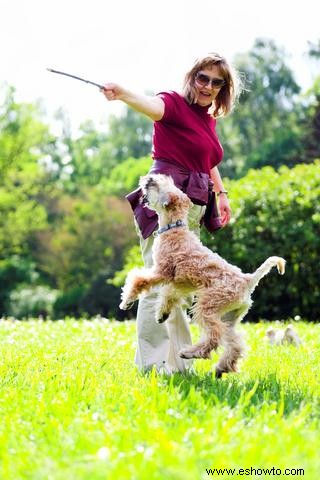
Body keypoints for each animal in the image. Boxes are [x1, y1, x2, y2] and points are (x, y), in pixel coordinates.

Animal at [120, 174, 284, 376]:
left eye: (159, 185)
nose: (149, 178)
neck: (174, 228)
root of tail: (248, 280)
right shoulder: (180, 283)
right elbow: (168, 295)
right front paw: (162, 314)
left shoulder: (161, 271)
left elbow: (139, 279)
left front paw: (126, 300)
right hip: (228, 316)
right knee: (235, 343)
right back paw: (221, 368)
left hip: (207, 308)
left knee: (214, 337)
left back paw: (190, 353)